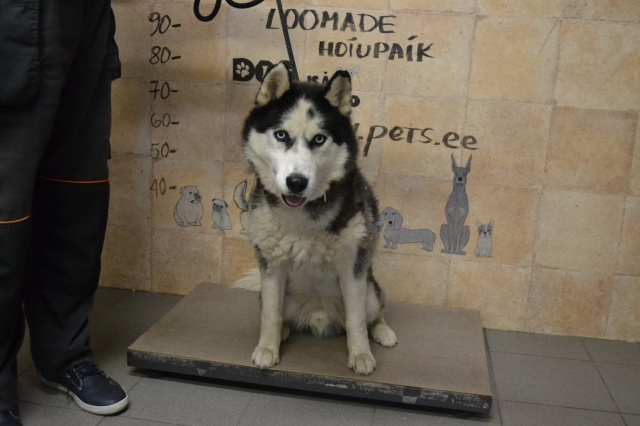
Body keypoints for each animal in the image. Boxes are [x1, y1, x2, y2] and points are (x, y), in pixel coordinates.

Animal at [233, 61, 397, 376]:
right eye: (281, 135)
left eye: (319, 139)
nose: (296, 182)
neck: (302, 217)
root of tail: (317, 318)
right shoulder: (271, 268)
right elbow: (270, 315)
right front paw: (268, 348)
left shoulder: (353, 270)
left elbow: (356, 321)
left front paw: (360, 355)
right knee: (279, 314)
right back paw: (283, 331)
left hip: (370, 287)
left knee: (373, 312)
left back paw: (382, 331)